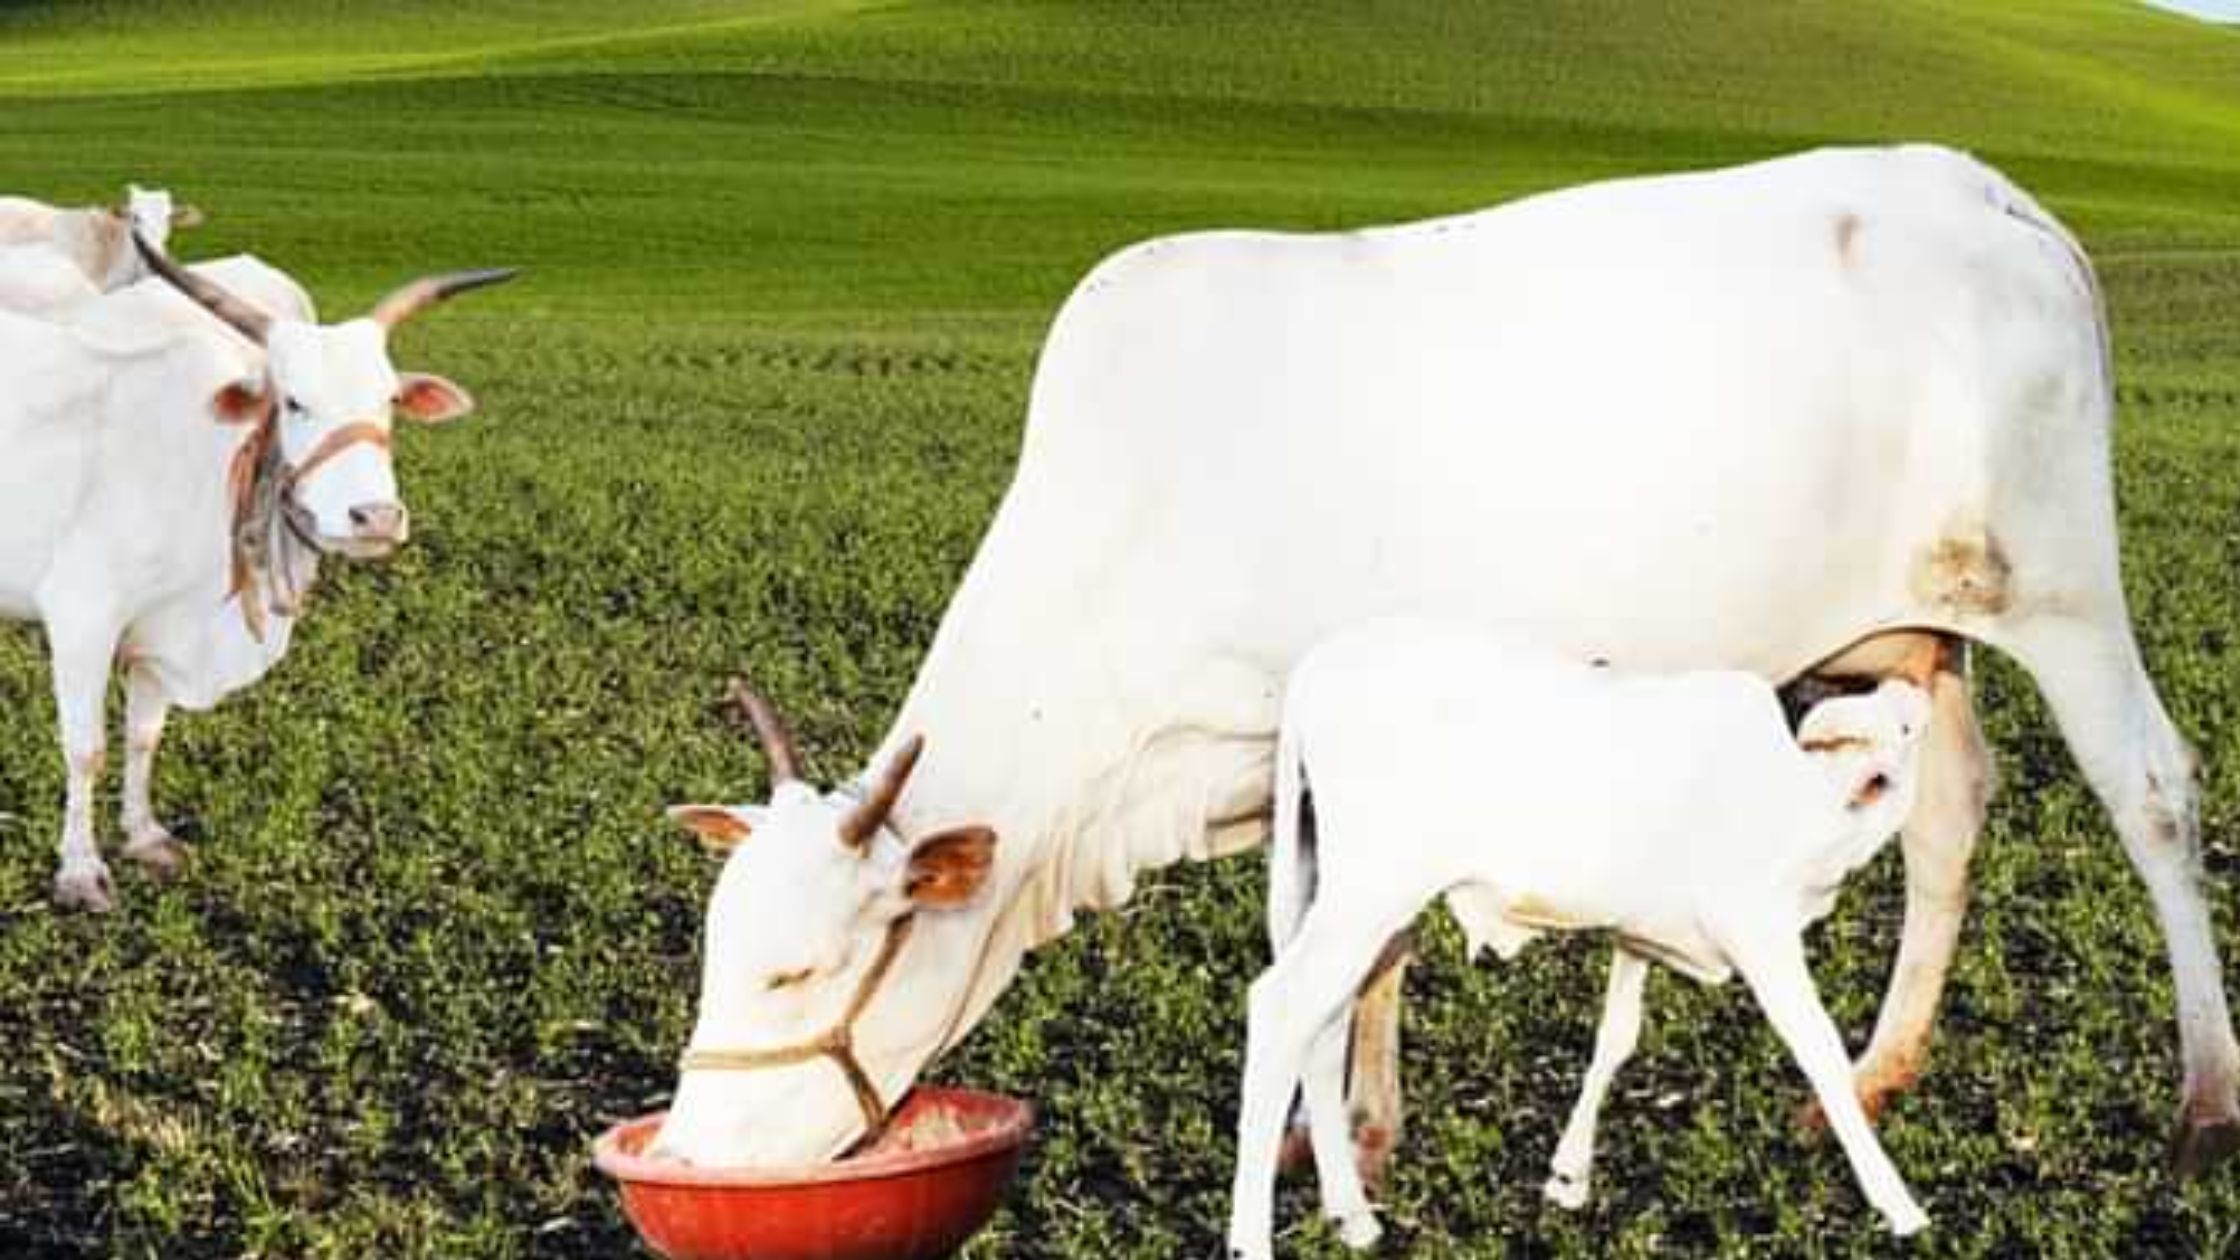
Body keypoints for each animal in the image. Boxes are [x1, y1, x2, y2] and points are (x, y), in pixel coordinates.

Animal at [0, 237, 514, 911]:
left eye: (389, 401)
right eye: (293, 401)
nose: (376, 517)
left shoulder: (159, 631)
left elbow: (143, 736)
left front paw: (144, 836)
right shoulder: (82, 615)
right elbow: (88, 750)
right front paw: (81, 871)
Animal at [653, 144, 2239, 1179]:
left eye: (795, 973)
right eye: (718, 955)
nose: (698, 1152)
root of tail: (1992, 192)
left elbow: (1369, 945)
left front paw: (1344, 1135)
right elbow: (1330, 940)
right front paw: (1330, 1127)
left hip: (2057, 587)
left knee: (2152, 794)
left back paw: (2204, 1102)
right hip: (1905, 631)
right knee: (1951, 808)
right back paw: (1865, 1075)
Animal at [1228, 622, 1934, 1257]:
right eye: (1894, 733)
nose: (1908, 695)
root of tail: (1326, 663)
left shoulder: (1641, 931)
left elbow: (1616, 1036)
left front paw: (1570, 1175)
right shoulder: (1758, 929)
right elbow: (1819, 1047)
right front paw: (1899, 1205)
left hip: (1338, 896)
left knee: (1321, 1033)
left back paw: (1351, 1217)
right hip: (1368, 897)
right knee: (1282, 1008)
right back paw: (1252, 1239)